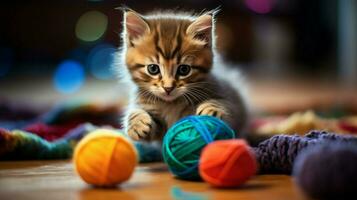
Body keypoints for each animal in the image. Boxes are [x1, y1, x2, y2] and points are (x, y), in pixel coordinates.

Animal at [117, 9, 248, 141]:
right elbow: (136, 114)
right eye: (153, 69)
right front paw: (136, 123)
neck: (171, 104)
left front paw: (212, 110)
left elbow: (225, 105)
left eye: (184, 69)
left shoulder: (228, 96)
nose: (168, 88)